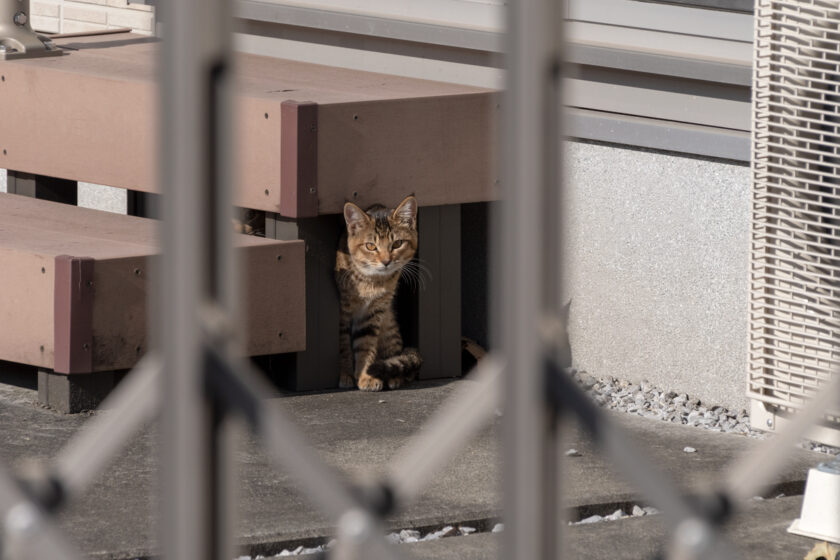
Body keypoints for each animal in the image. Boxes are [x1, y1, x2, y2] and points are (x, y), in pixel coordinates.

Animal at [334, 195, 424, 392]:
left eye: (397, 244)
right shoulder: (343, 312)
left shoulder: (374, 313)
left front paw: (366, 375)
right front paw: (345, 374)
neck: (372, 281)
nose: (386, 261)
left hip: (389, 325)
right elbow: (343, 345)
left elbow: (366, 345)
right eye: (370, 246)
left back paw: (394, 376)